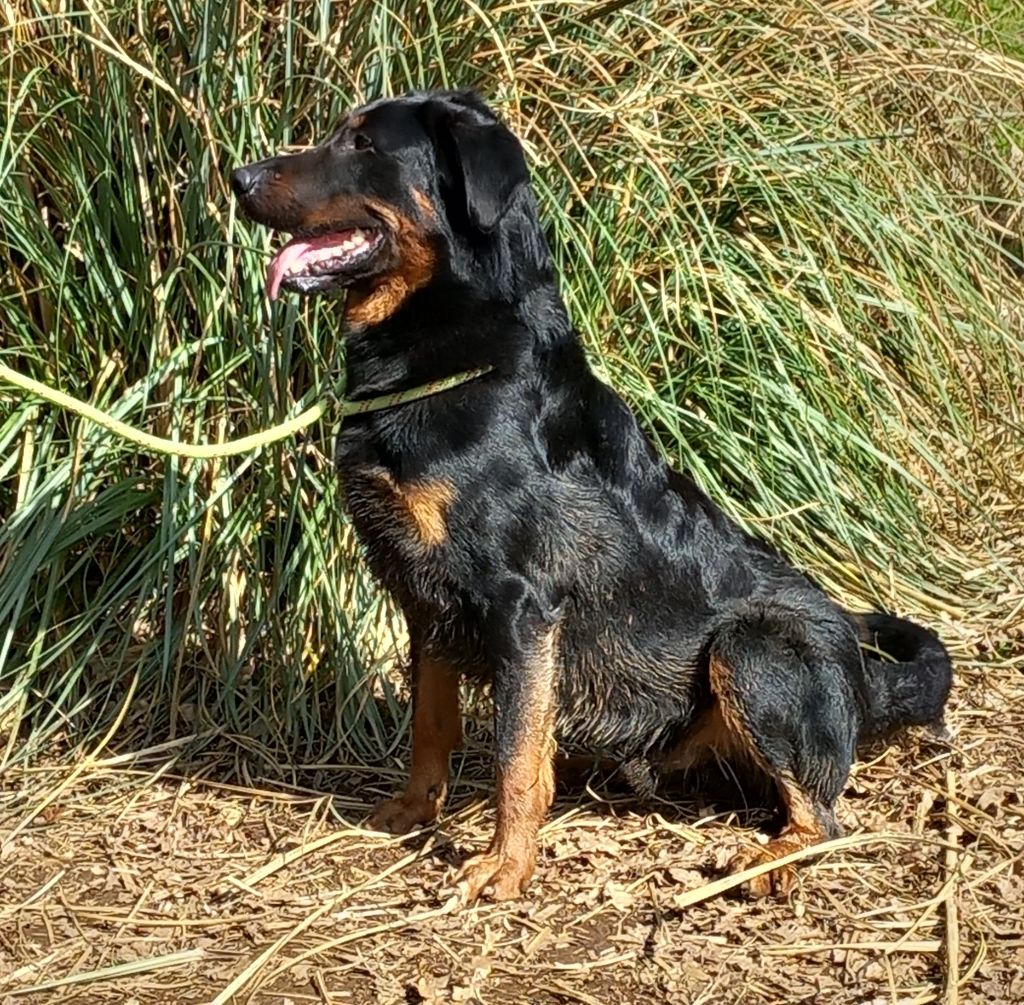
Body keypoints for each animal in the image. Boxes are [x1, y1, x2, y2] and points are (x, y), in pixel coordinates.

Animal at [232, 92, 950, 901]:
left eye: (362, 145)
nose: (237, 177)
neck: (456, 361)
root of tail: (866, 687)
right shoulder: (425, 599)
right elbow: (432, 724)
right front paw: (412, 813)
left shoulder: (521, 605)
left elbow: (513, 758)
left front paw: (504, 865)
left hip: (753, 647)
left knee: (822, 817)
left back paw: (762, 860)